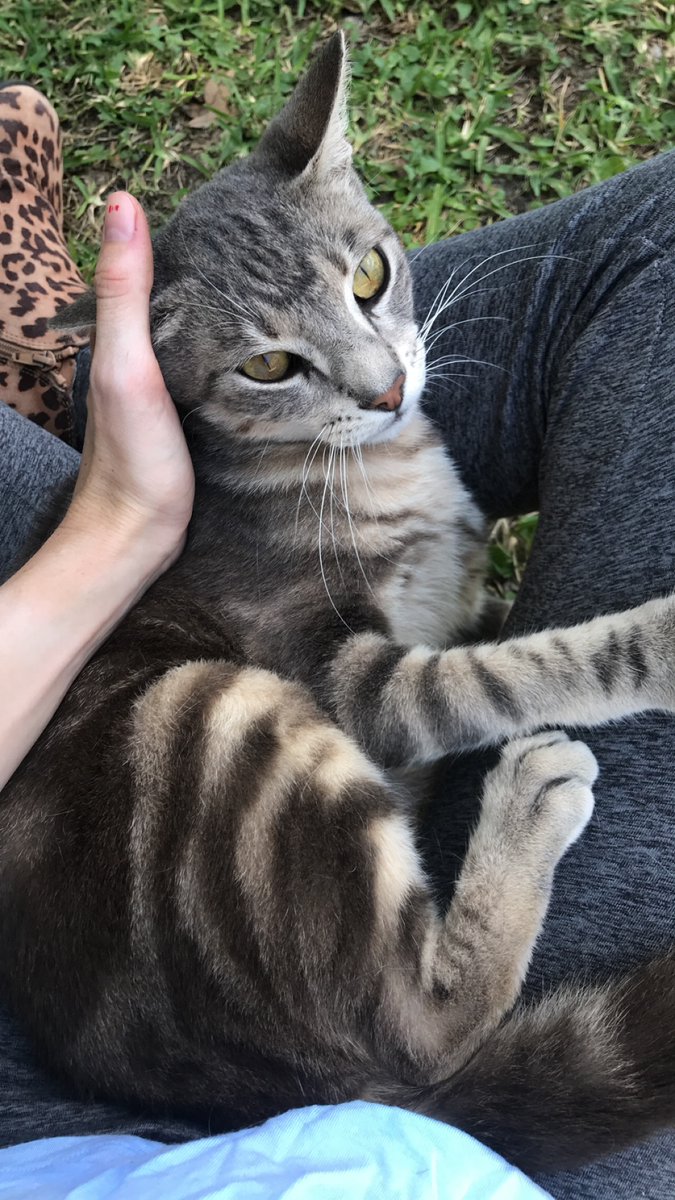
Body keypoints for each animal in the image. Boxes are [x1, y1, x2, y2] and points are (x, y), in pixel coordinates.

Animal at [2, 35, 667, 1171]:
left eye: (369, 274)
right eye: (269, 365)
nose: (387, 389)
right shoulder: (342, 676)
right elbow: (500, 673)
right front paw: (654, 645)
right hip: (215, 713)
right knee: (423, 1027)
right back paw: (526, 804)